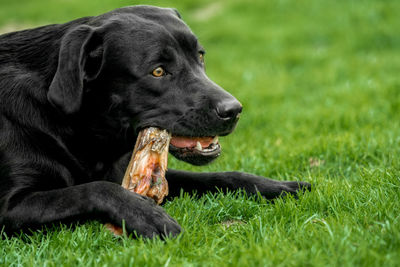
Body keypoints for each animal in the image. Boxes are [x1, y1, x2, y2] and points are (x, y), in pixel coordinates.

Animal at [0, 5, 310, 239]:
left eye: (200, 56)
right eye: (158, 71)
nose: (234, 110)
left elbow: (223, 176)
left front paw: (277, 186)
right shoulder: (10, 207)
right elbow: (95, 189)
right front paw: (147, 215)